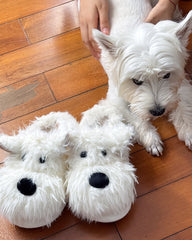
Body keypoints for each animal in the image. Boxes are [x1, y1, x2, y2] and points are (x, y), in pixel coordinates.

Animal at [91, 0, 192, 156]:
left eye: (167, 75)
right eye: (136, 81)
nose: (158, 111)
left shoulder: (180, 85)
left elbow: (183, 105)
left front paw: (188, 131)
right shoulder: (116, 97)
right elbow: (134, 117)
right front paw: (151, 139)